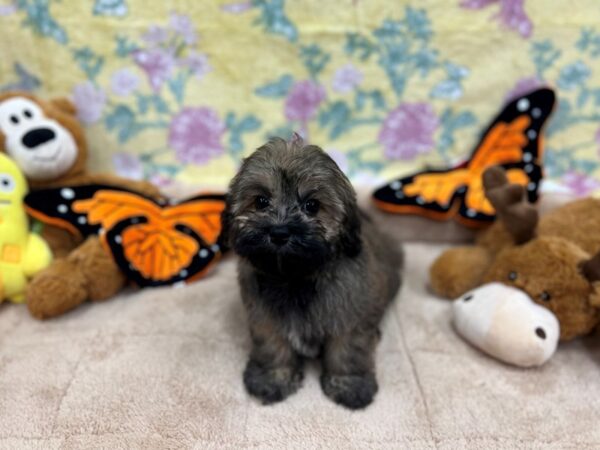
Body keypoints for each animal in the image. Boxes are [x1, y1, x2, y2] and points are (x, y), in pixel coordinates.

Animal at [221, 136, 404, 408]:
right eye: (261, 201)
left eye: (312, 205)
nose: (279, 232)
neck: (294, 277)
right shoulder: (264, 315)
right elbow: (272, 344)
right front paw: (273, 378)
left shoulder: (349, 314)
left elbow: (347, 350)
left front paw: (349, 384)